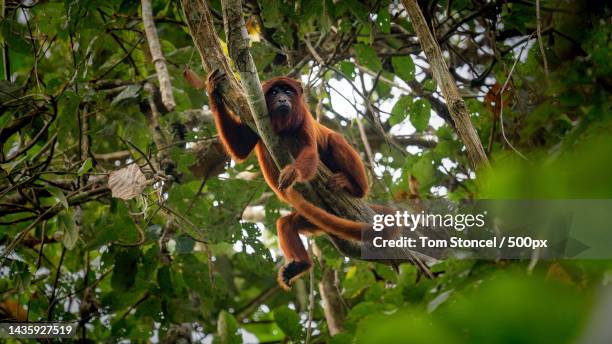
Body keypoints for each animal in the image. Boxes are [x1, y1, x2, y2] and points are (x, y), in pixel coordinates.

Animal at [208, 71, 372, 288]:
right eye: (274, 92)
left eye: (287, 91)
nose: (282, 99)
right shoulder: (252, 115)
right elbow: (240, 148)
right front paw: (213, 91)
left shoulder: (304, 118)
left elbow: (310, 151)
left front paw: (292, 172)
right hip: (314, 217)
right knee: (286, 224)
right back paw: (301, 264)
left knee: (335, 140)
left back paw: (352, 186)